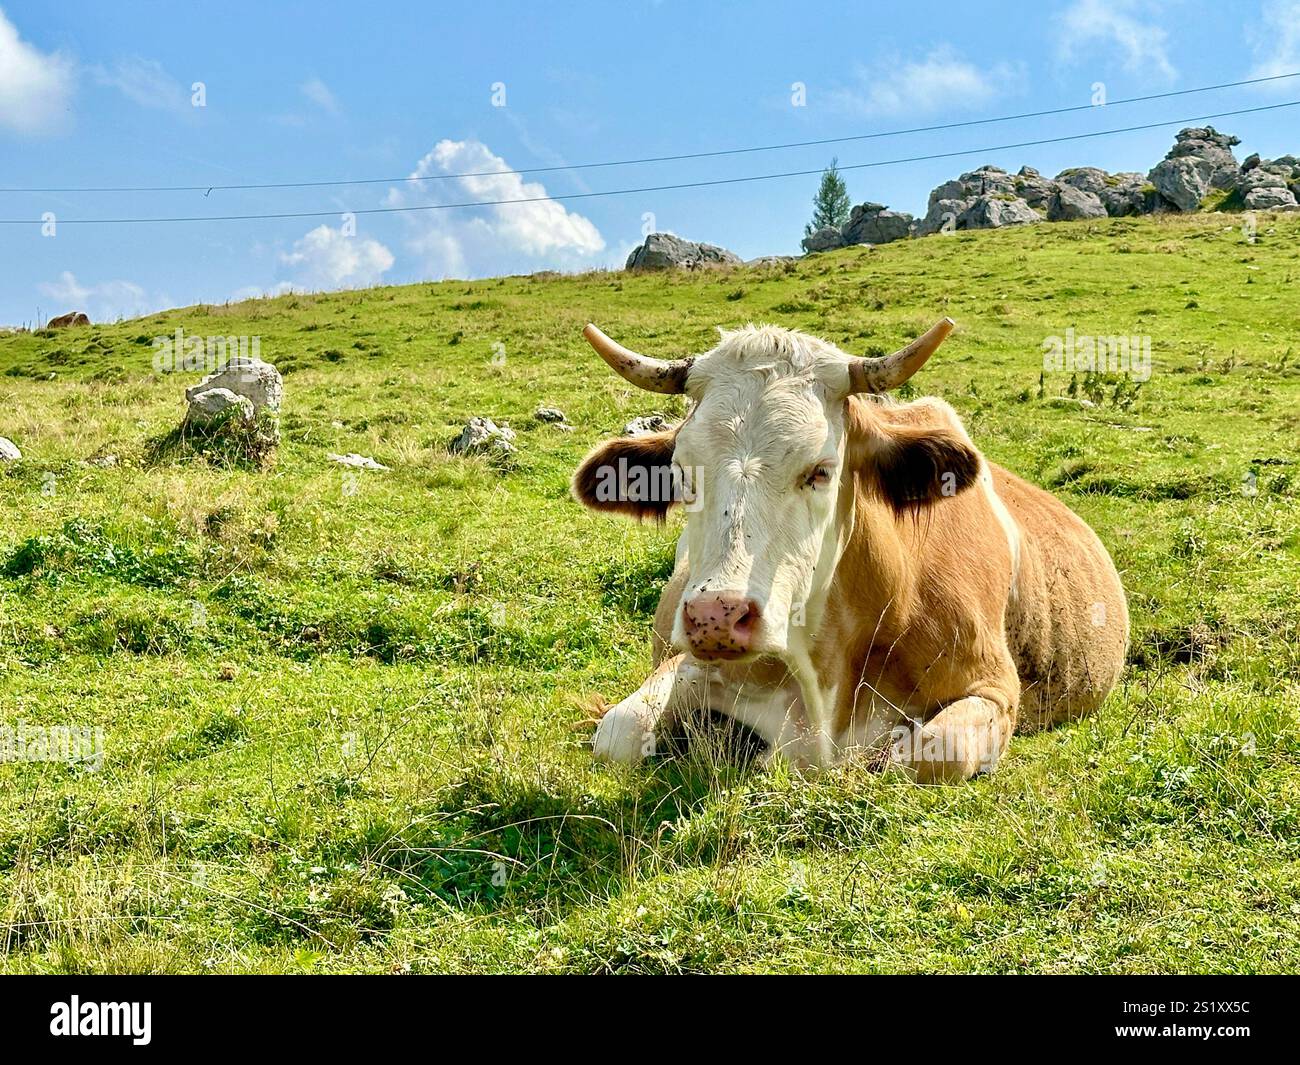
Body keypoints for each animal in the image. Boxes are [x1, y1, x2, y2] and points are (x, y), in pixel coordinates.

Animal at [571, 318, 1129, 781]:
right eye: (685, 473)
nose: (716, 617)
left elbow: (931, 753)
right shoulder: (690, 663)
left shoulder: (993, 686)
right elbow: (618, 732)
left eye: (821, 470)